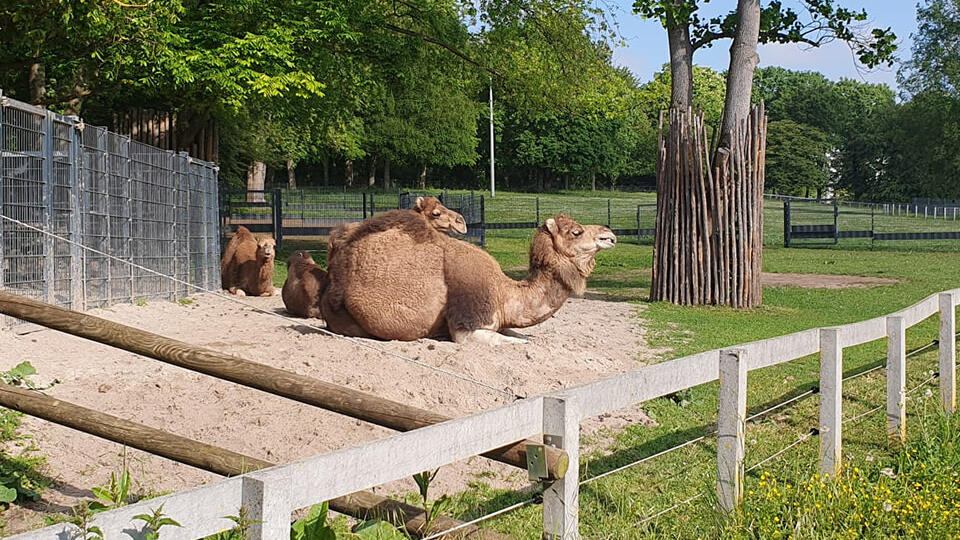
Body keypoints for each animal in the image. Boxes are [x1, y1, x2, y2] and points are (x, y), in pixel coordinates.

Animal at [321, 214, 616, 344]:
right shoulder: (468, 327)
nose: (609, 235)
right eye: (576, 232)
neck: (503, 293)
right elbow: (514, 342)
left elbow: (517, 335)